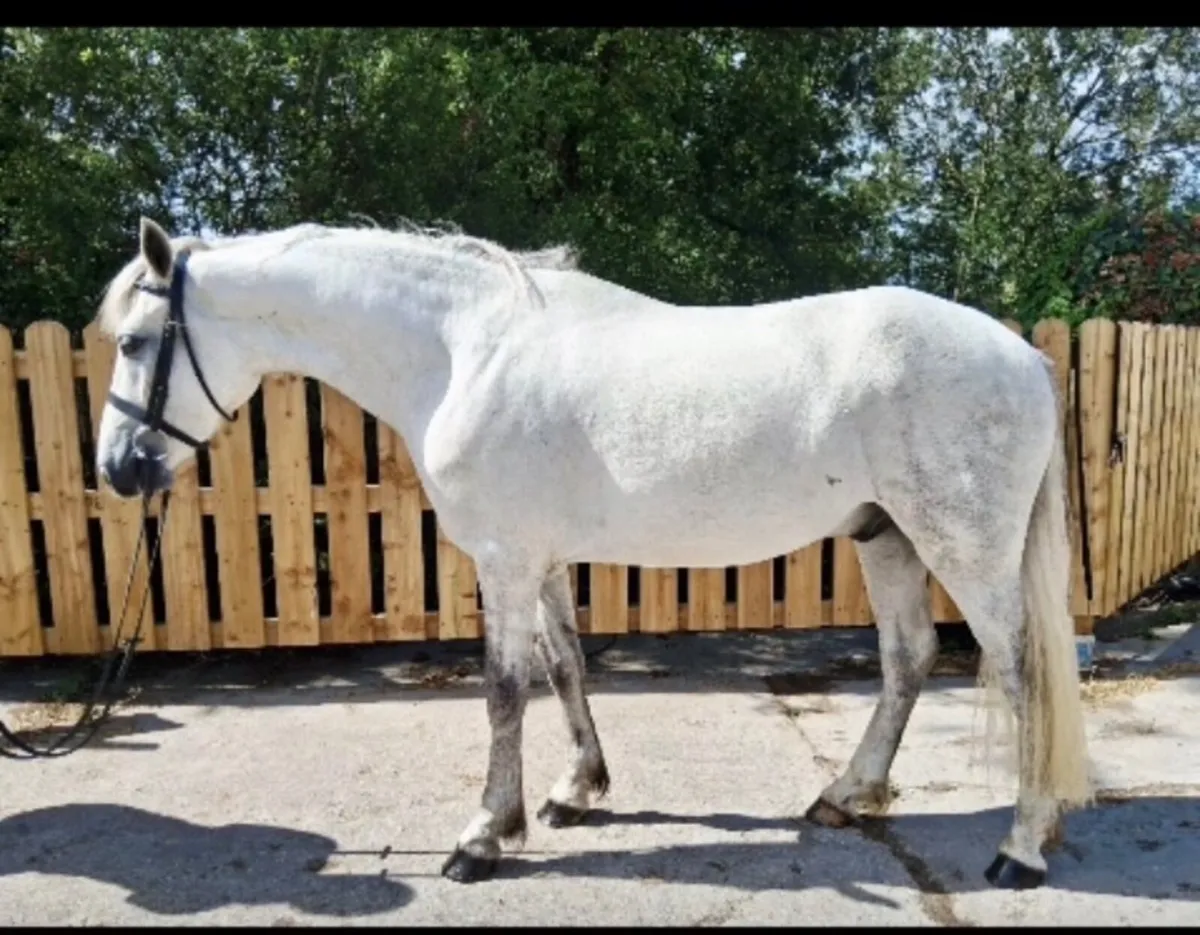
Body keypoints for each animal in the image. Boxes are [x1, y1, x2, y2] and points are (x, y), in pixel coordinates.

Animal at [93, 216, 1092, 890]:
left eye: (137, 342)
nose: (117, 467)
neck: (466, 350)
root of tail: (1022, 357)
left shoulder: (501, 558)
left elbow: (503, 691)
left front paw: (482, 836)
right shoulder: (538, 559)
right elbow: (565, 666)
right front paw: (576, 792)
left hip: (964, 546)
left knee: (1018, 671)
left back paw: (1019, 848)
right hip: (886, 537)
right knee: (907, 658)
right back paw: (848, 793)